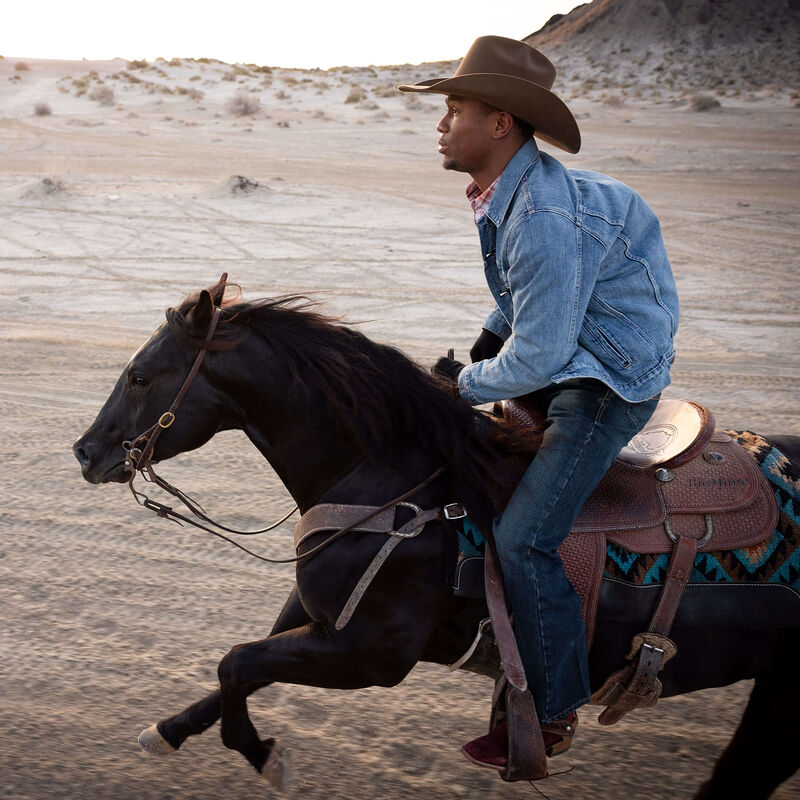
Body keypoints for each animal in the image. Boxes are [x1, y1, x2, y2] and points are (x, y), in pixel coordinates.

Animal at [72, 278, 796, 796]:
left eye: (140, 375)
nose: (85, 452)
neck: (395, 483)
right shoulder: (317, 620)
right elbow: (236, 669)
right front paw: (165, 732)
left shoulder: (371, 656)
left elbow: (237, 664)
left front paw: (264, 756)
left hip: (781, 705)